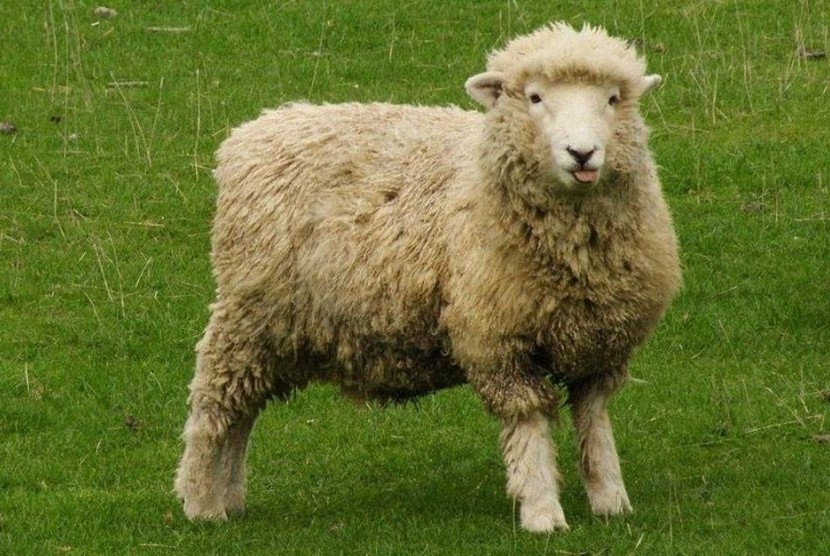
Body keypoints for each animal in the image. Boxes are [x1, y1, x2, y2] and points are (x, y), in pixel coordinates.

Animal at [174, 21, 682, 533]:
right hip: (248, 316)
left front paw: (611, 500)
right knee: (214, 408)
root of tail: (251, 133)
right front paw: (542, 511)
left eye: (613, 99)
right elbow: (529, 423)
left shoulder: (602, 344)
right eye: (535, 97)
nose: (583, 153)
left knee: (243, 412)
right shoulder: (498, 342)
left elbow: (594, 421)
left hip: (275, 331)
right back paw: (201, 501)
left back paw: (230, 498)